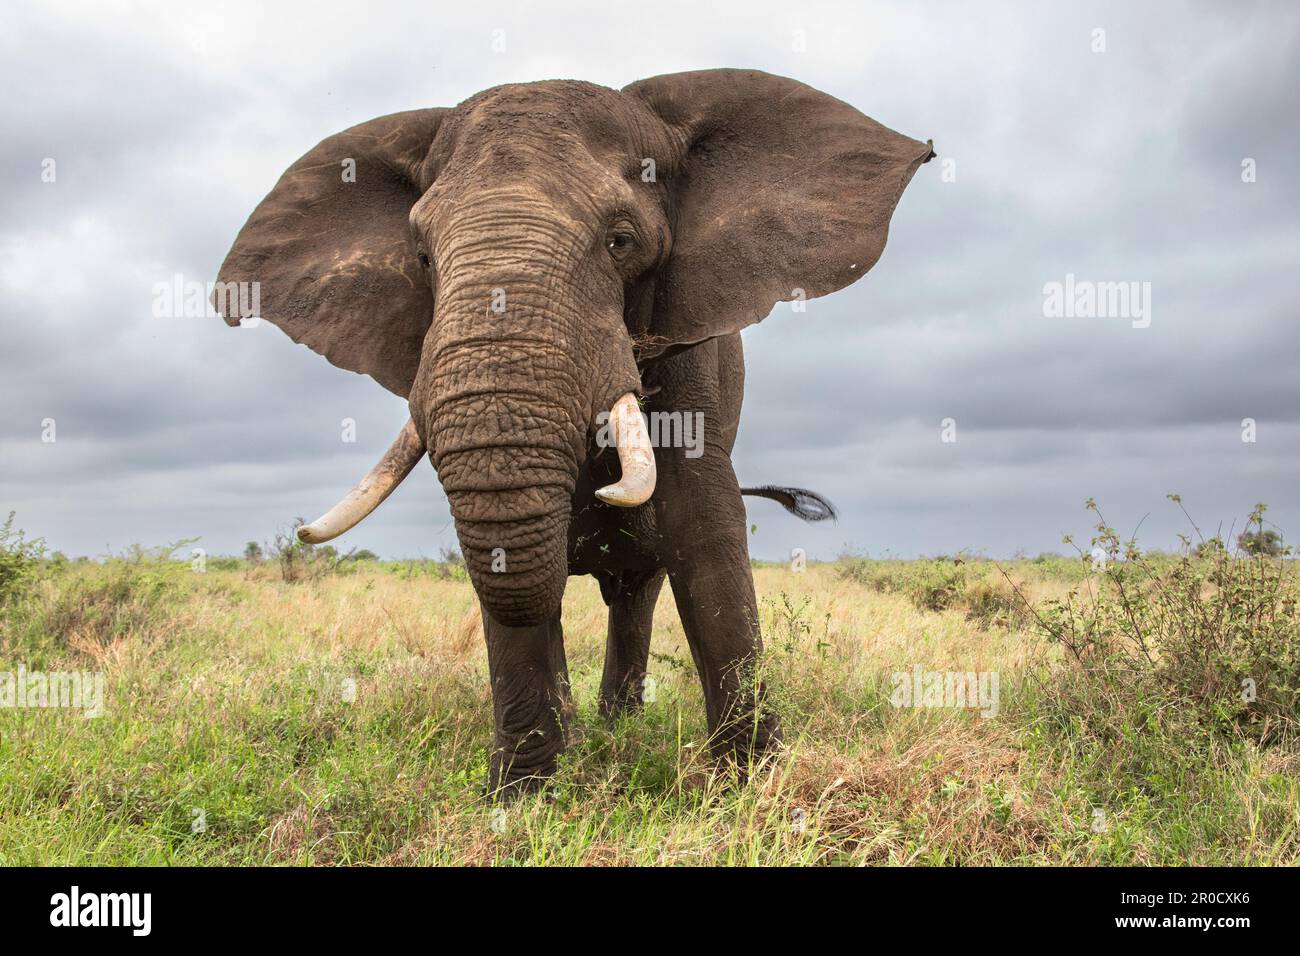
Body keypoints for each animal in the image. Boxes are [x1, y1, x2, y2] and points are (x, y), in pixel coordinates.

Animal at [213, 69, 933, 795]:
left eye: (620, 241)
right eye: (422, 257)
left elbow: (704, 522)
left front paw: (750, 786)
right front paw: (526, 795)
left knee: (636, 594)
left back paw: (618, 727)